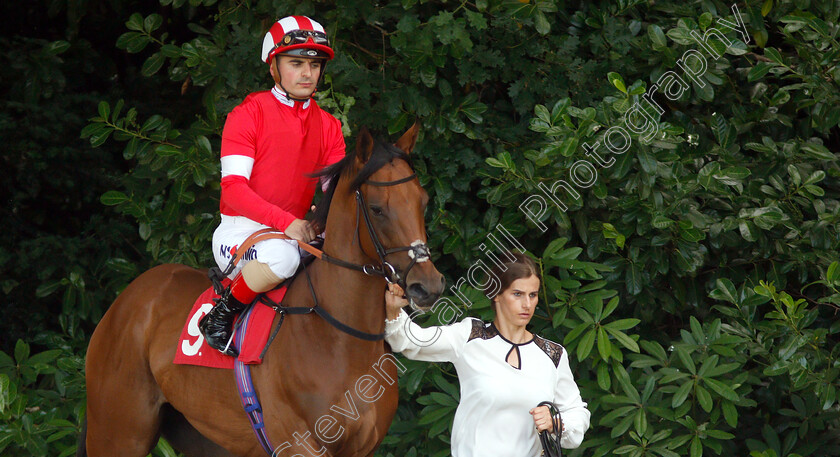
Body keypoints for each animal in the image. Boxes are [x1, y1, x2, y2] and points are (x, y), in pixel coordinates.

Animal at [80, 124, 446, 456]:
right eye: (377, 208)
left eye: (423, 201)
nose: (427, 285)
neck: (337, 337)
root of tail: (124, 301)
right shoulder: (300, 446)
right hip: (119, 433)